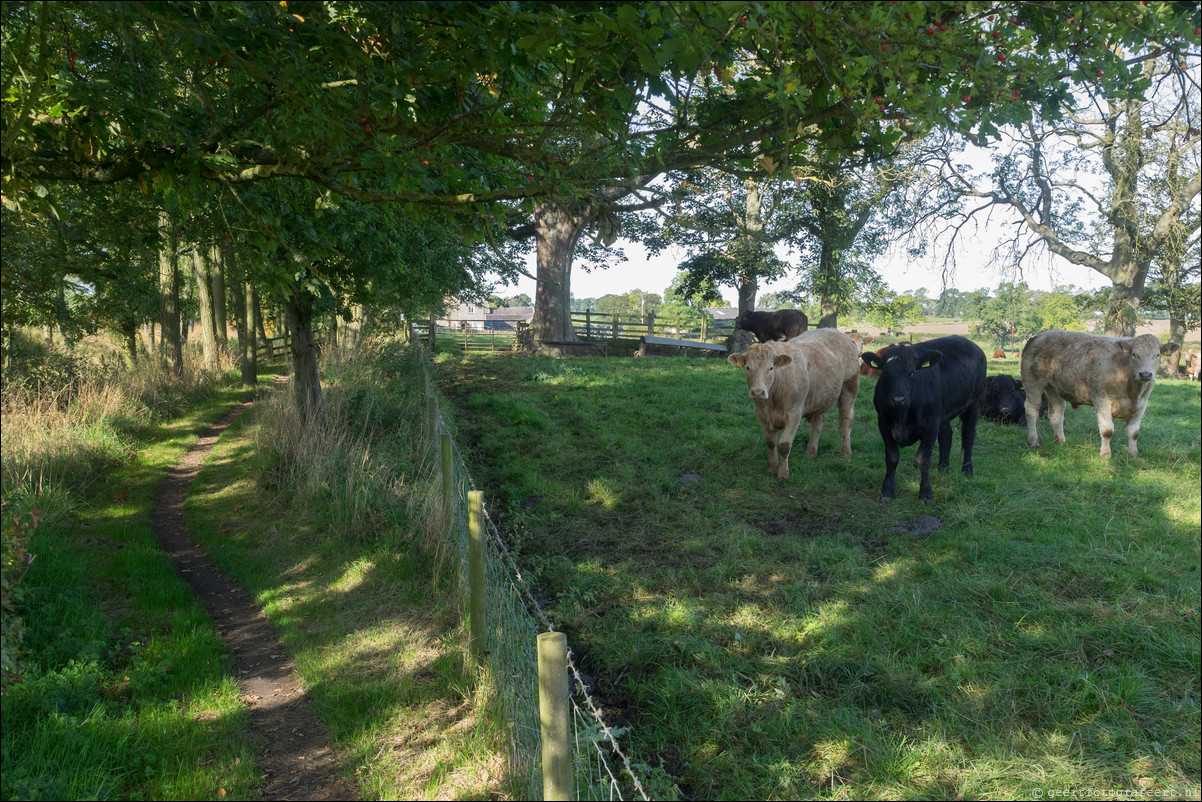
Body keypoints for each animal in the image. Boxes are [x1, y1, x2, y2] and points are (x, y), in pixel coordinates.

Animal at [726, 327, 860, 483]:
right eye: (747, 367)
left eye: (771, 368)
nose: (758, 392)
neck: (772, 400)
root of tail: (837, 332)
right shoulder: (761, 414)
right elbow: (770, 442)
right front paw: (772, 468)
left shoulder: (794, 413)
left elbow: (784, 445)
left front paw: (783, 474)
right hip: (819, 397)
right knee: (818, 424)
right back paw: (811, 452)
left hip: (849, 387)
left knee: (846, 421)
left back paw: (845, 453)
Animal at [855, 334, 985, 502]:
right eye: (885, 373)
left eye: (912, 373)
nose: (898, 399)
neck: (901, 418)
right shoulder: (883, 424)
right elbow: (891, 458)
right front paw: (887, 491)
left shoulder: (930, 425)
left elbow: (923, 459)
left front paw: (926, 493)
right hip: (943, 413)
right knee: (946, 436)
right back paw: (943, 467)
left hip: (974, 403)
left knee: (968, 436)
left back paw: (967, 470)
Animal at [1019, 331, 1177, 456]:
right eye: (1134, 354)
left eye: (1157, 355)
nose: (1145, 374)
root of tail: (1039, 335)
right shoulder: (1102, 400)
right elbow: (1107, 430)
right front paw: (1106, 454)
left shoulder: (1141, 405)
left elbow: (1134, 432)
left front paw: (1133, 455)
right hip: (1033, 383)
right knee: (1031, 411)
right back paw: (1033, 441)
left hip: (1054, 388)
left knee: (1056, 413)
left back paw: (1060, 441)